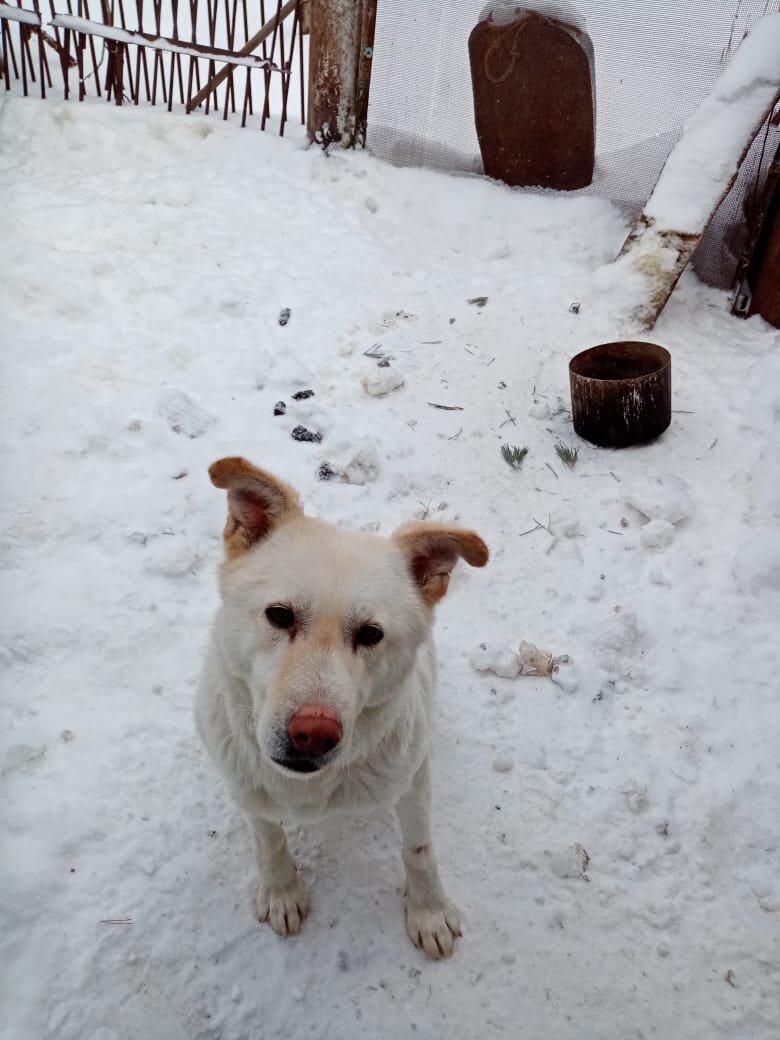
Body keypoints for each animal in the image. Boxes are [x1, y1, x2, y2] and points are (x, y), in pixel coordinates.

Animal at [196, 455, 488, 956]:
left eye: (371, 634)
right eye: (279, 615)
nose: (313, 734)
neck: (309, 788)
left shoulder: (412, 783)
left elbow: (419, 849)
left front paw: (428, 911)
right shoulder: (246, 786)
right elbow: (268, 839)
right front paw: (281, 891)